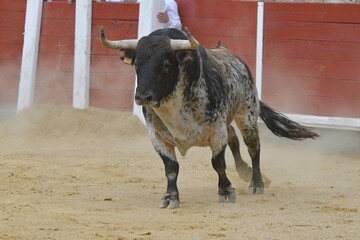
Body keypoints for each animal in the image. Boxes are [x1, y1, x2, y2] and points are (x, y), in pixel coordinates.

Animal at [99, 26, 318, 208]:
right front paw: (170, 197)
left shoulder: (217, 132)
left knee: (253, 147)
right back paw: (244, 171)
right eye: (137, 63)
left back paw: (256, 183)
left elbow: (218, 163)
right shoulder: (157, 136)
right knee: (234, 138)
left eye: (167, 64)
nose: (143, 97)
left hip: (247, 115)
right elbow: (171, 167)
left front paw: (226, 191)